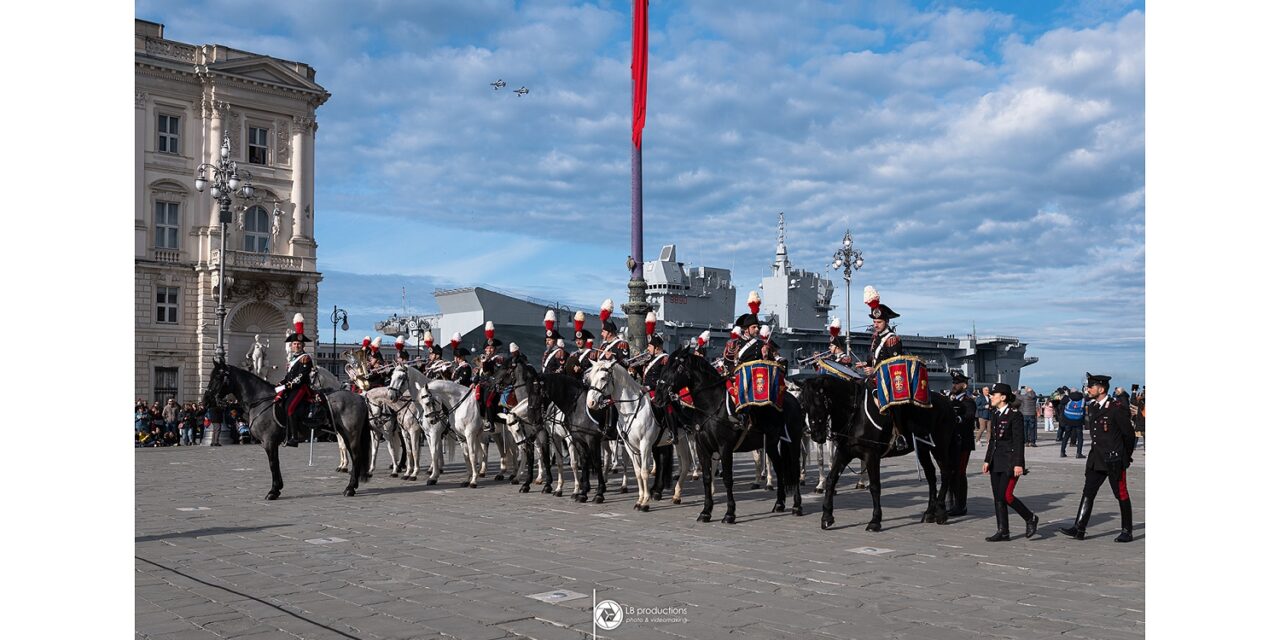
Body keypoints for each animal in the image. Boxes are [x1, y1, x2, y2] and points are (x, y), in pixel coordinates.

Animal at [199, 360, 371, 499]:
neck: (260, 400)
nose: (205, 400)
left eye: (217, 377)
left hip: (351, 434)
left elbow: (273, 464)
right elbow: (276, 463)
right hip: (345, 434)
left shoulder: (269, 441)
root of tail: (360, 397)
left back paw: (350, 488)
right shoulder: (271, 442)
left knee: (357, 456)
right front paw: (278, 488)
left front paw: (273, 491)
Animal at [655, 348, 803, 522]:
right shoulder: (702, 448)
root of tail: (792, 398)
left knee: (794, 469)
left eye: (677, 368)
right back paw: (779, 503)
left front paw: (730, 513)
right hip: (772, 444)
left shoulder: (725, 448)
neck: (711, 406)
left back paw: (797, 506)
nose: (658, 397)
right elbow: (707, 478)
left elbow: (727, 478)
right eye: (665, 367)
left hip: (793, 441)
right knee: (780, 468)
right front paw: (706, 511)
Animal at [798, 373, 952, 529]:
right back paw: (929, 513)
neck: (856, 415)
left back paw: (941, 513)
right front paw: (827, 516)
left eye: (819, 402)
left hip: (939, 446)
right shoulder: (843, 453)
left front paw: (875, 521)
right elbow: (831, 480)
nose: (815, 435)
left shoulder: (871, 455)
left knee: (945, 473)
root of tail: (946, 401)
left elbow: (874, 486)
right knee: (931, 475)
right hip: (922, 449)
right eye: (803, 404)